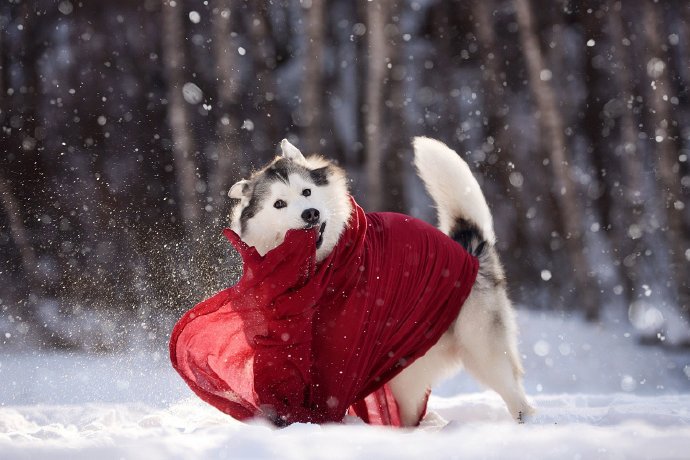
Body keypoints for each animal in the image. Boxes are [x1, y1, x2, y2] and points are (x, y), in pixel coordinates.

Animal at [226, 137, 532, 428]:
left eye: (307, 192)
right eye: (279, 204)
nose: (310, 213)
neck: (320, 271)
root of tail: (469, 248)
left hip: (483, 350)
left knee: (516, 395)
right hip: (406, 372)